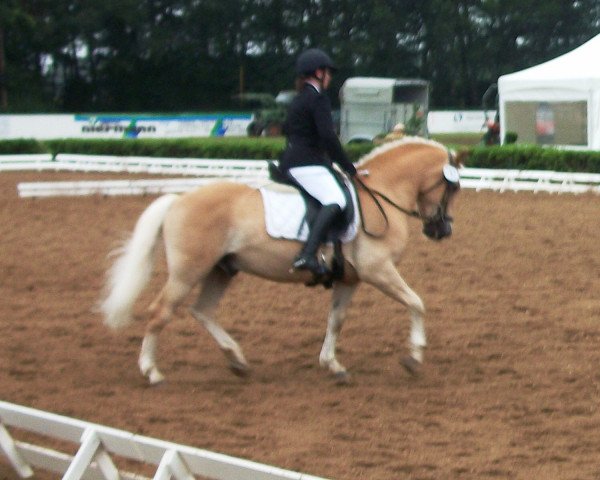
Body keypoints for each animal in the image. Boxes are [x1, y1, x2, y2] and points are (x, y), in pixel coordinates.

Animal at [101, 137, 462, 384]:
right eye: (452, 189)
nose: (442, 230)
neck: (383, 193)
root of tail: (178, 200)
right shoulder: (379, 271)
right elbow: (417, 303)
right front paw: (414, 356)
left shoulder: (350, 279)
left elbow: (336, 320)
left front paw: (333, 365)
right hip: (188, 272)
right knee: (160, 312)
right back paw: (152, 371)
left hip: (222, 270)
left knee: (202, 311)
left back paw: (237, 360)